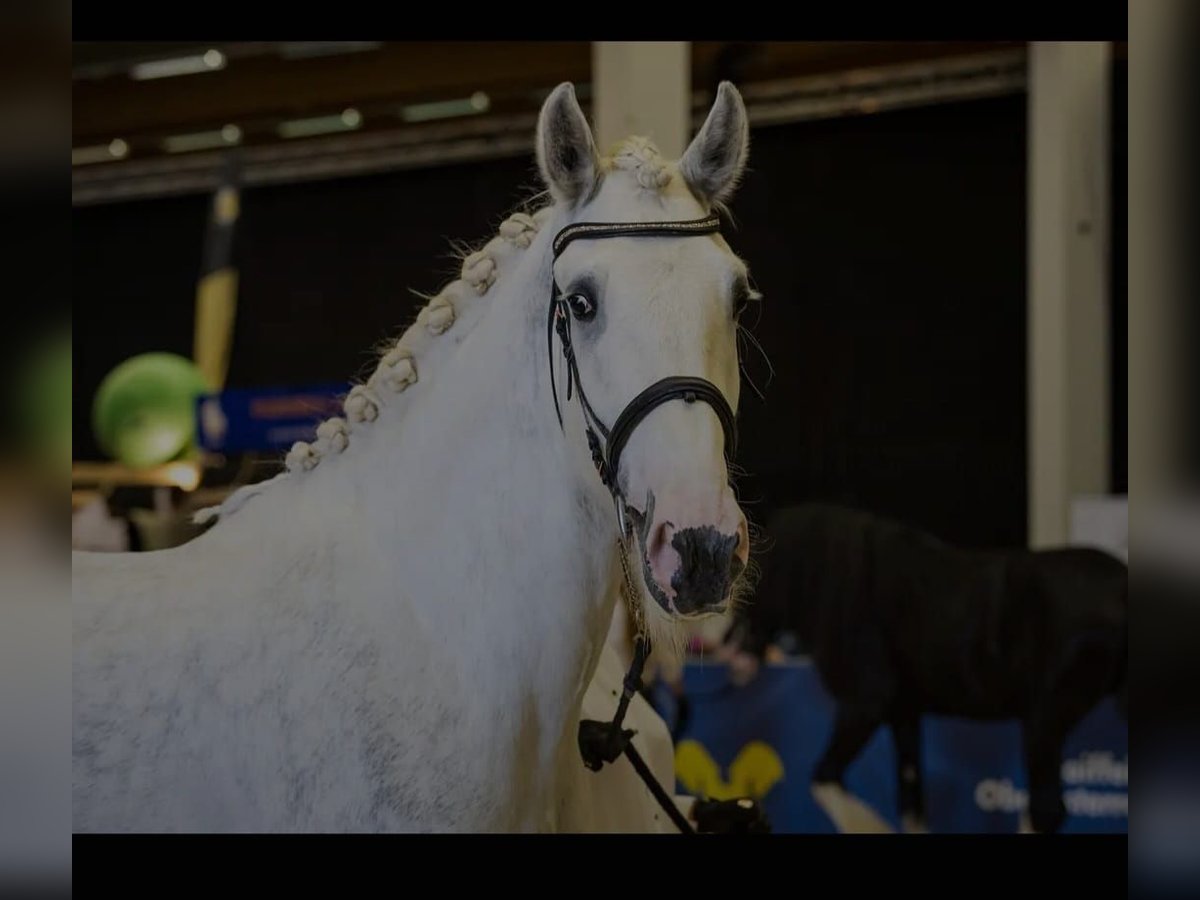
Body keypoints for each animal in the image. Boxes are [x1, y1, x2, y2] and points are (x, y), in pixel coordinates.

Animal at [720, 503, 1128, 834]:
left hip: (1045, 721)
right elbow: (911, 800)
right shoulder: (904, 713)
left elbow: (826, 778)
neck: (845, 586)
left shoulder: (864, 706)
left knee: (1045, 810)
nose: (729, 658)